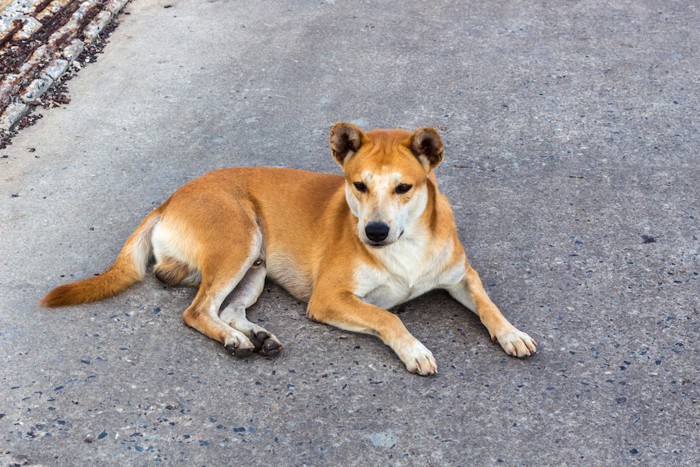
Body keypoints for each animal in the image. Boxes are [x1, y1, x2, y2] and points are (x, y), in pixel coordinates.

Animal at [41, 122, 540, 374]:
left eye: (403, 188)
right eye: (358, 186)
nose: (375, 232)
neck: (407, 245)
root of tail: (170, 198)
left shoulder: (462, 276)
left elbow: (488, 304)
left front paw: (511, 332)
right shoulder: (330, 298)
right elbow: (388, 317)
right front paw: (413, 348)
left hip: (256, 266)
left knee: (225, 308)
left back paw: (255, 335)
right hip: (239, 239)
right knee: (197, 310)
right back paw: (234, 341)